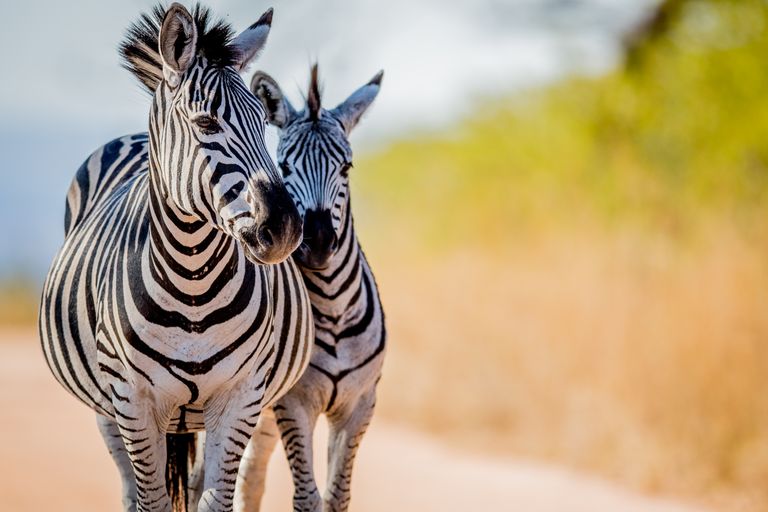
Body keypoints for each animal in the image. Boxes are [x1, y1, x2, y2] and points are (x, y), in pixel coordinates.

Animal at [39, 4, 315, 512]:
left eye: (263, 123)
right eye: (205, 124)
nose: (285, 228)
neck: (193, 285)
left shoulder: (242, 397)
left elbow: (215, 500)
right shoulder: (132, 400)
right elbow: (153, 501)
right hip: (106, 410)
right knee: (130, 490)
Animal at [234, 65, 386, 512]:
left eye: (347, 168)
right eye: (284, 167)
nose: (317, 243)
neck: (333, 309)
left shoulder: (359, 405)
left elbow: (338, 497)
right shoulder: (294, 405)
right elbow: (307, 498)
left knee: (248, 479)